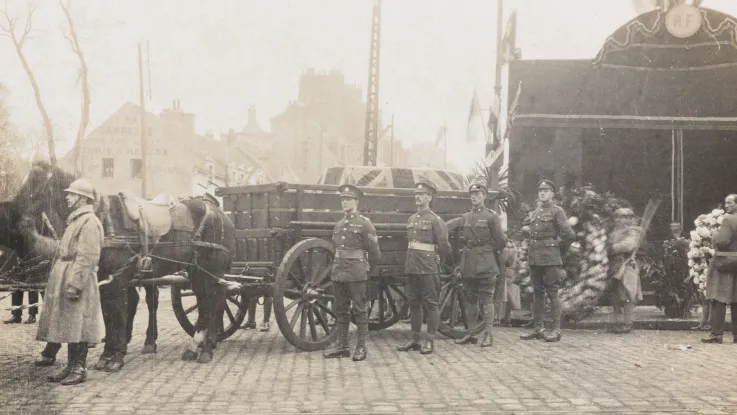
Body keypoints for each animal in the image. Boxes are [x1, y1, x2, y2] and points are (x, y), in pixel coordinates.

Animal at [12, 162, 234, 364]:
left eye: (35, 183)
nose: (17, 221)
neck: (102, 218)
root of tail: (219, 212)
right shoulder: (104, 279)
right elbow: (109, 314)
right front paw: (107, 355)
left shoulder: (116, 279)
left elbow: (117, 312)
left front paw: (115, 357)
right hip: (196, 271)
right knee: (205, 302)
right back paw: (194, 347)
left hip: (211, 270)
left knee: (215, 301)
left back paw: (206, 349)